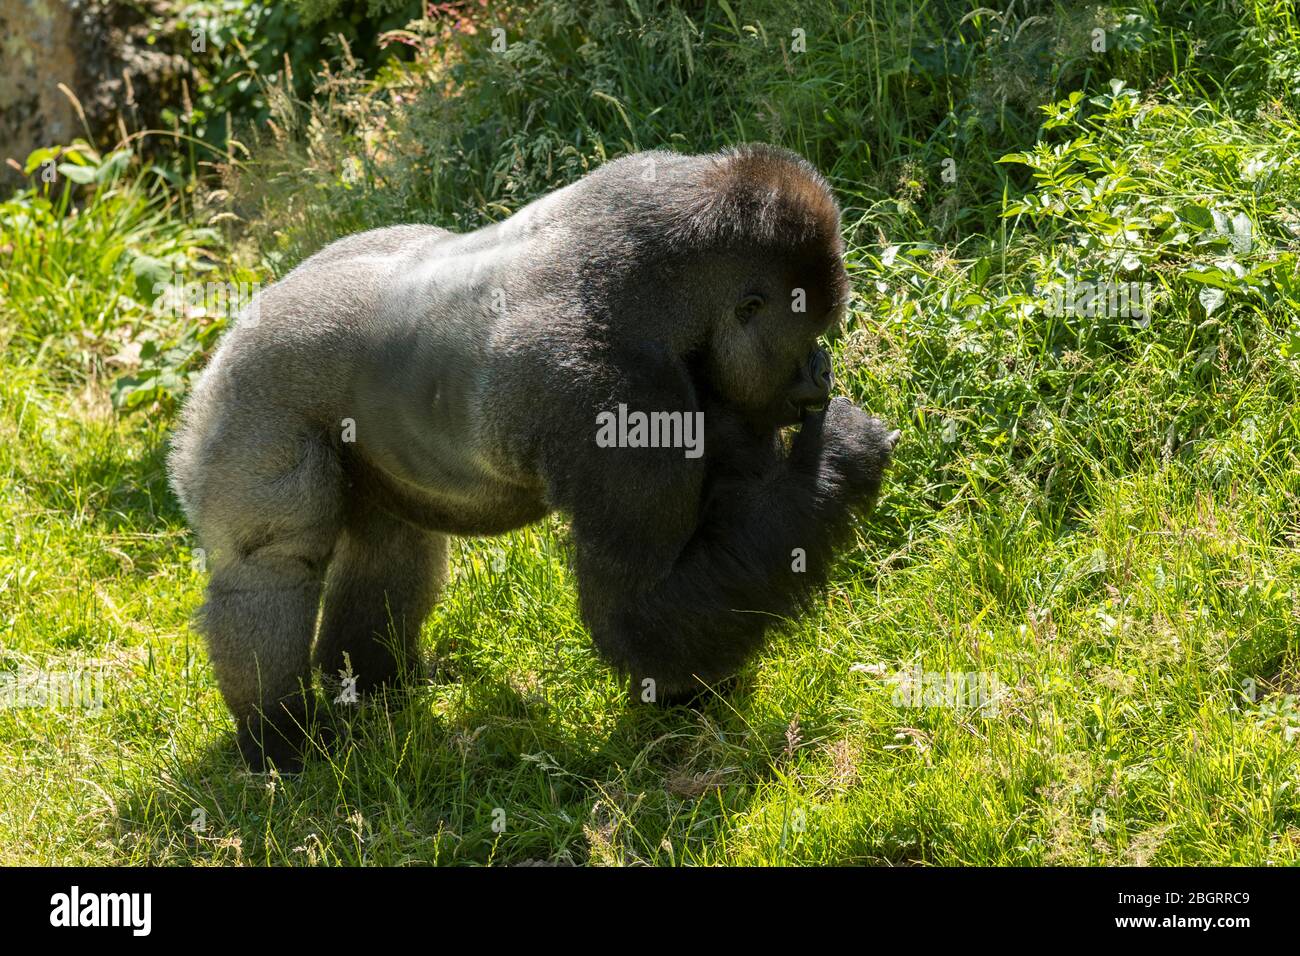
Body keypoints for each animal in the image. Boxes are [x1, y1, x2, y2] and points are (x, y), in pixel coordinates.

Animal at [168, 144, 900, 771]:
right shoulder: (615, 398)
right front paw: (843, 453)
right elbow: (639, 610)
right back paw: (278, 736)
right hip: (249, 402)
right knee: (270, 568)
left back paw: (371, 687)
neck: (665, 289)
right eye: (809, 332)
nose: (821, 372)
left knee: (390, 543)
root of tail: (239, 319)